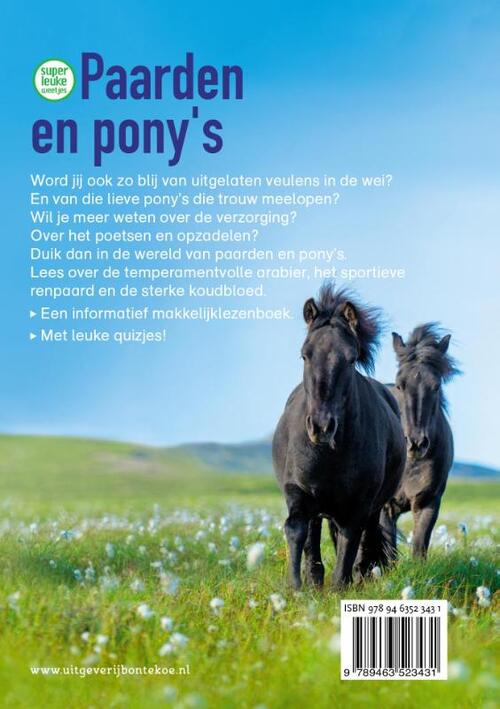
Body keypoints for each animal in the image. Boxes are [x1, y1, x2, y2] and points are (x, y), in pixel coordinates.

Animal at [272, 284, 406, 589]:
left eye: (351, 358)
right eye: (305, 354)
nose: (322, 426)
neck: (329, 455)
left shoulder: (358, 505)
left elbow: (349, 544)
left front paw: (340, 586)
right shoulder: (298, 494)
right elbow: (297, 532)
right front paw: (297, 587)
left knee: (366, 534)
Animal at [381, 323, 459, 559]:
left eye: (436, 386)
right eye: (400, 385)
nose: (416, 443)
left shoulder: (428, 502)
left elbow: (418, 547)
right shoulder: (385, 507)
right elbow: (389, 552)